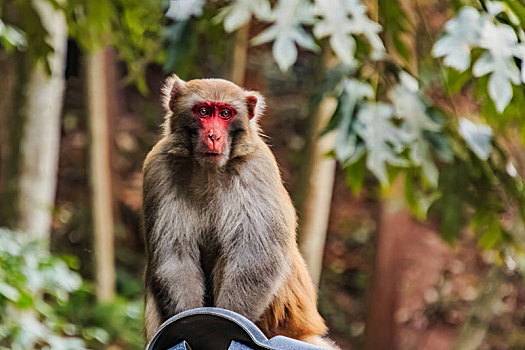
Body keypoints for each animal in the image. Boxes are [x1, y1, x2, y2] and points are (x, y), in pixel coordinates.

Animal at [143, 75, 338, 348]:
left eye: (226, 113)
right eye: (203, 112)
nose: (214, 136)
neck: (209, 171)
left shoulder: (258, 167)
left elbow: (258, 254)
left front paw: (225, 324)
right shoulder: (158, 167)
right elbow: (175, 257)